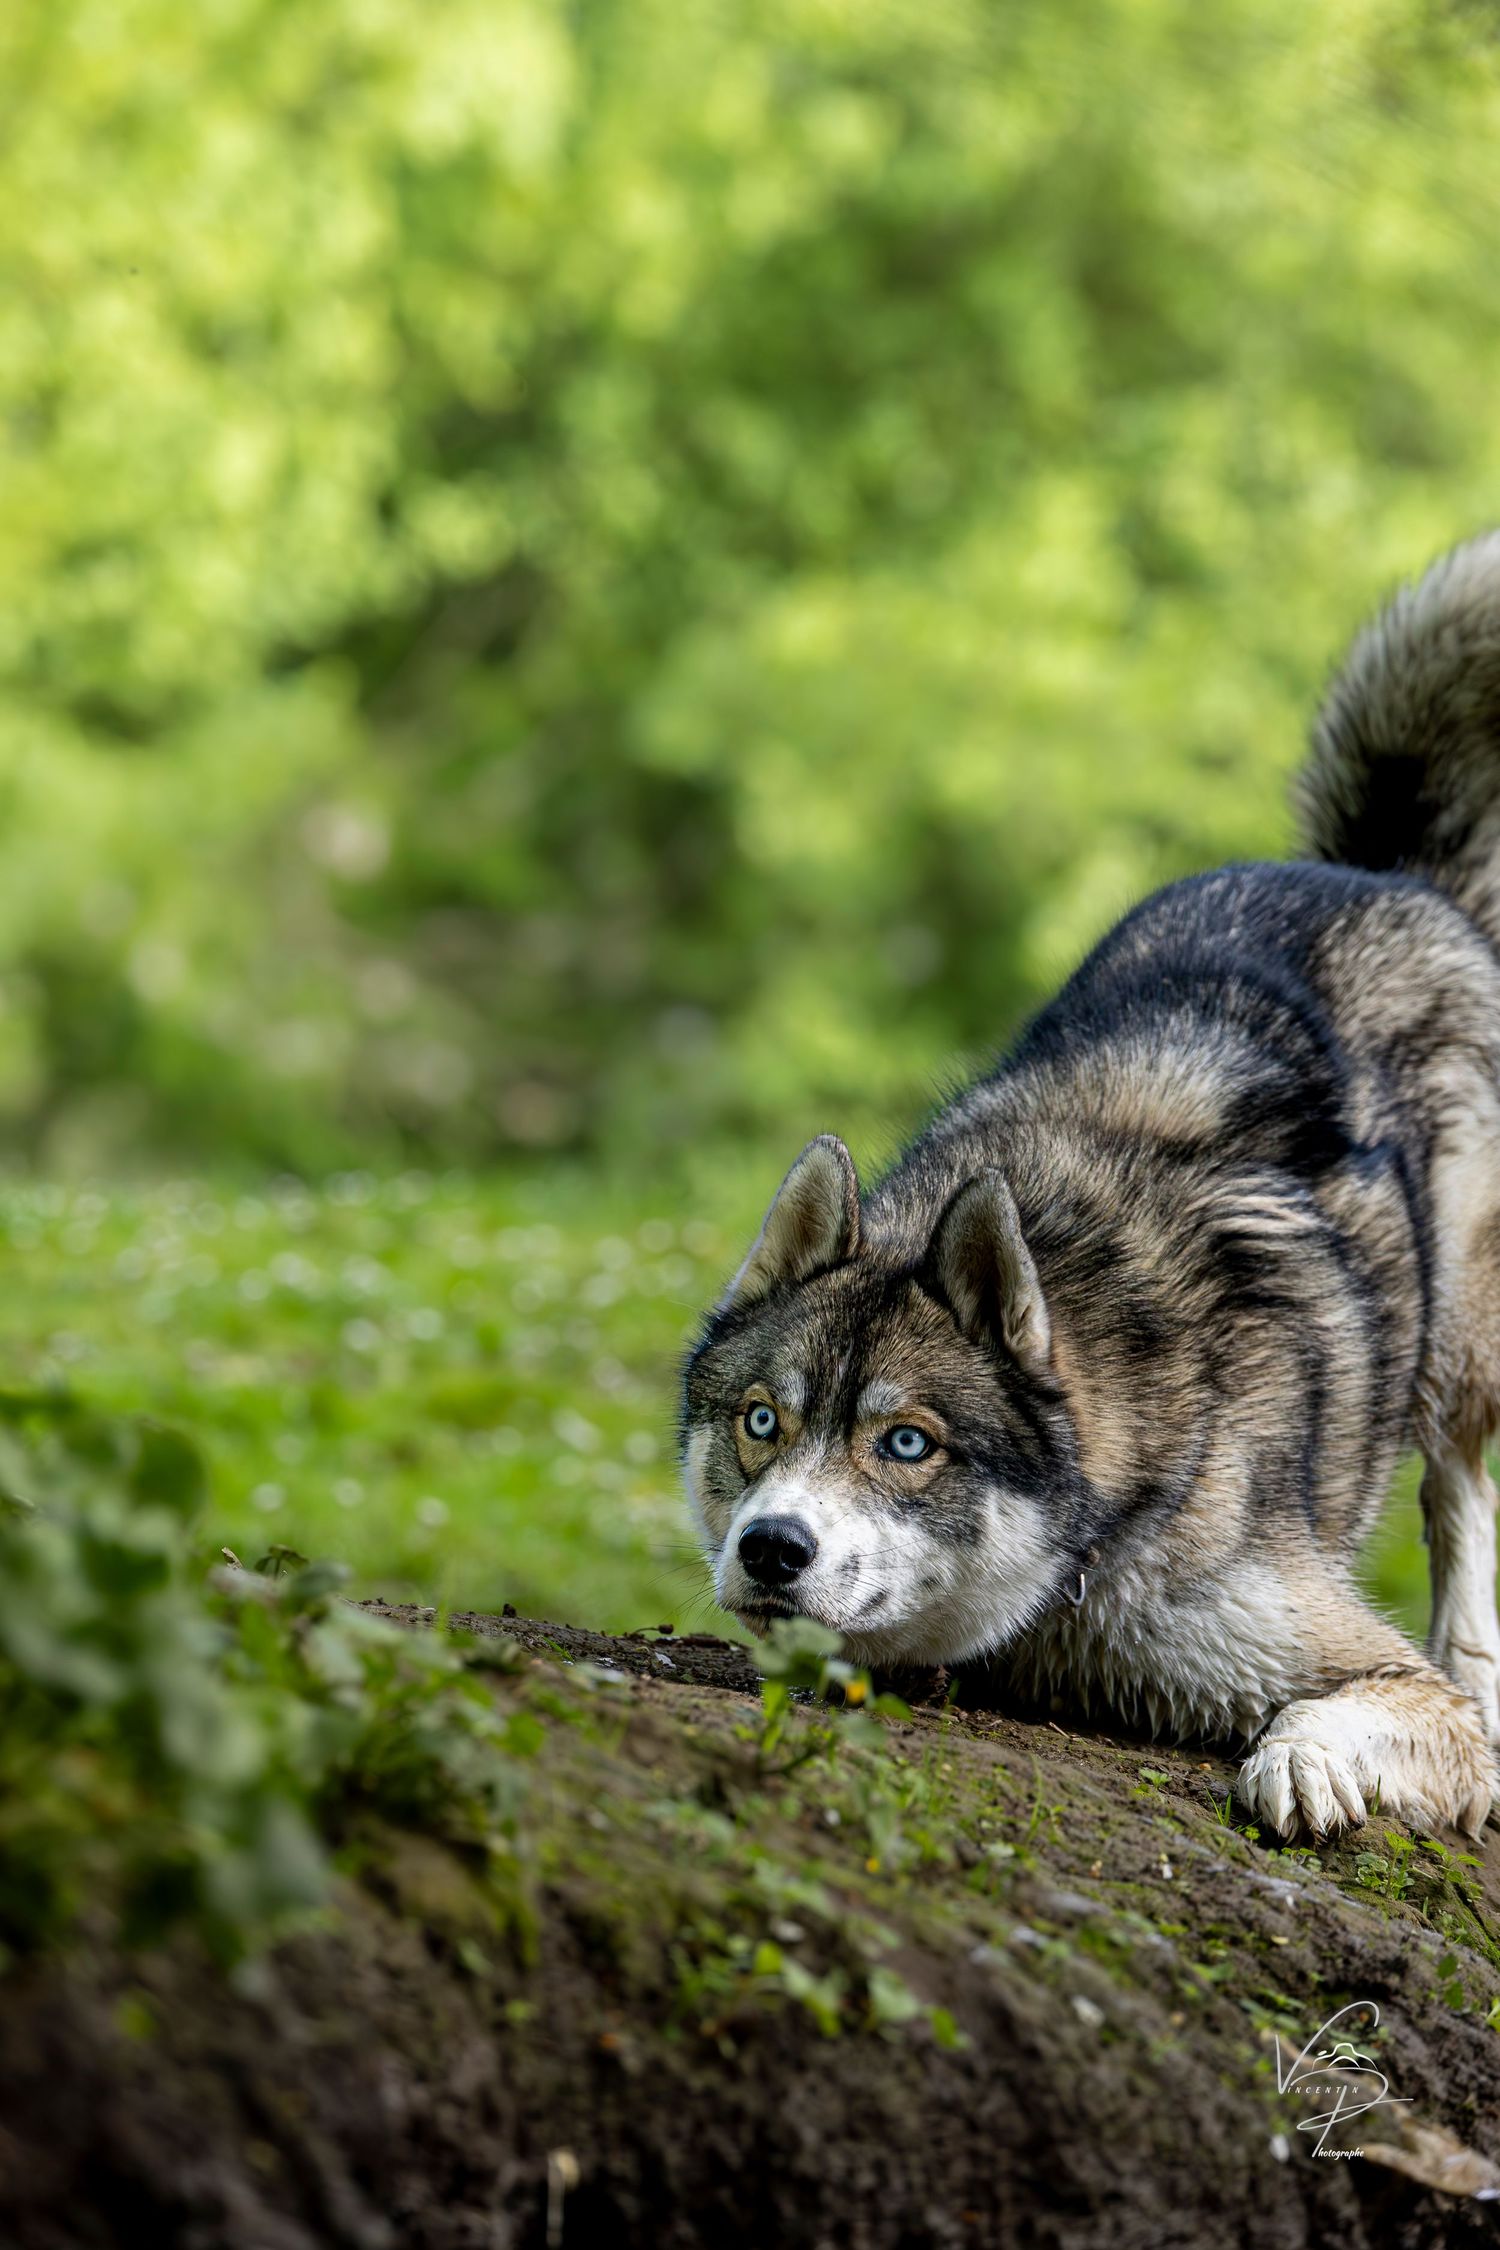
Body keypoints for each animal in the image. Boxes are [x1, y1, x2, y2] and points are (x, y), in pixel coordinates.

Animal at [682, 532, 1500, 1841]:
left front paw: (1304, 1763)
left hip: (1458, 1356)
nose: (770, 1549)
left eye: (906, 1443)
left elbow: (1339, 1711)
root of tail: (1376, 874)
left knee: (1460, 1500)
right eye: (763, 1423)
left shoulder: (1369, 1671)